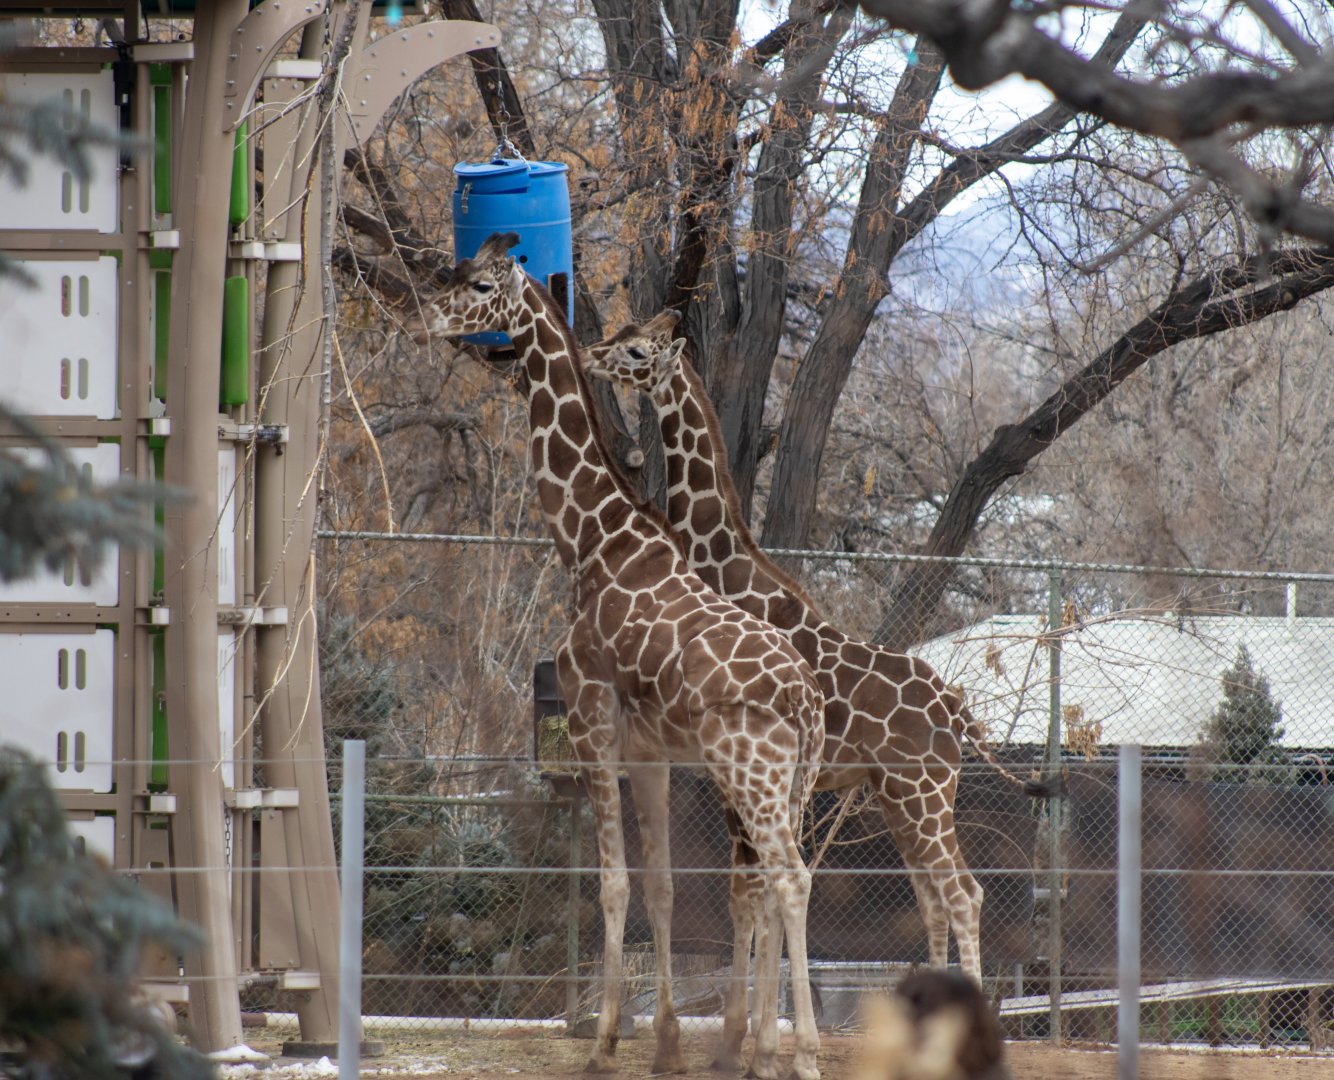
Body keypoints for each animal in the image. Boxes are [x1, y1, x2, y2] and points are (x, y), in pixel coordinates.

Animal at [403, 234, 826, 1080]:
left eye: (484, 283)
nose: (429, 313)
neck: (590, 540)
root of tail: (804, 699)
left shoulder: (591, 718)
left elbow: (611, 887)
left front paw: (602, 1040)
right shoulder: (650, 750)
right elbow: (660, 887)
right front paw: (663, 1040)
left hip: (751, 772)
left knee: (789, 877)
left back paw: (798, 1052)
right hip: (792, 781)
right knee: (782, 879)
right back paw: (771, 1045)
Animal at [584, 313, 1031, 1019]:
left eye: (634, 350)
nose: (589, 354)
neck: (724, 565)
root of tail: (954, 710)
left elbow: (756, 892)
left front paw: (760, 1021)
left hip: (923, 792)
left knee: (964, 893)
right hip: (900, 797)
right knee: (933, 900)